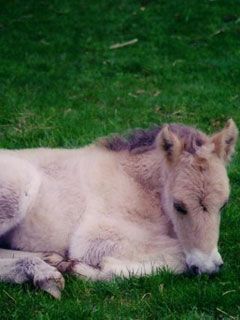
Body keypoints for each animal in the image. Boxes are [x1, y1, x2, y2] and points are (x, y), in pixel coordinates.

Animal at [0, 120, 237, 298]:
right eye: (179, 206)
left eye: (223, 204)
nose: (208, 268)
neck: (137, 184)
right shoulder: (95, 238)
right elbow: (179, 258)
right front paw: (84, 269)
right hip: (17, 189)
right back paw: (44, 273)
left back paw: (47, 263)